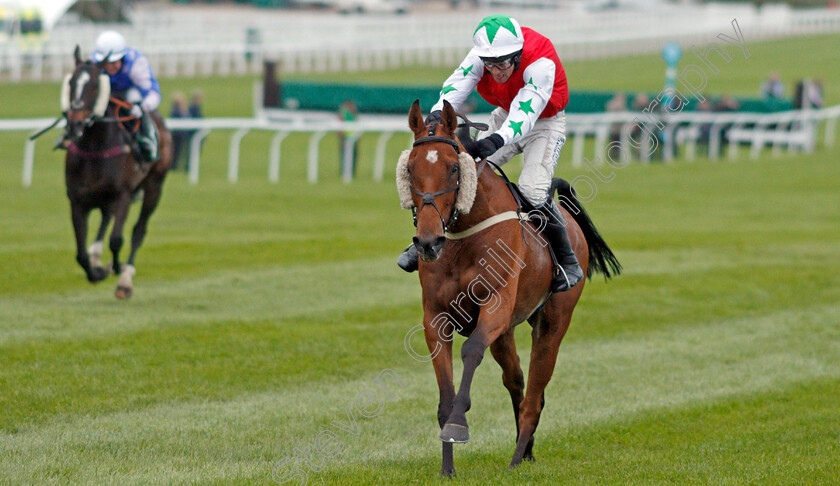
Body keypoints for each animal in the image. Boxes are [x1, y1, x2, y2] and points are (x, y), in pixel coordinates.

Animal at [62, 45, 172, 298]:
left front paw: (117, 271)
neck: (94, 147)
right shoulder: (77, 200)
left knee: (138, 230)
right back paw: (98, 257)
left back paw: (125, 276)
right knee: (105, 218)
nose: (74, 124)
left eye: (94, 85)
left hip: (154, 186)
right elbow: (80, 254)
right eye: (71, 82)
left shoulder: (123, 194)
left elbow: (116, 239)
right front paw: (96, 271)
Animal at [398, 100, 620, 476]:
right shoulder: (436, 317)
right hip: (506, 335)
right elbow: (445, 390)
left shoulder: (497, 306)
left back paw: (517, 457)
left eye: (454, 169)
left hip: (553, 323)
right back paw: (525, 451)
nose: (428, 242)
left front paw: (458, 425)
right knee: (517, 382)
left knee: (534, 393)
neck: (464, 236)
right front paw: (447, 466)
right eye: (410, 170)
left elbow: (472, 350)